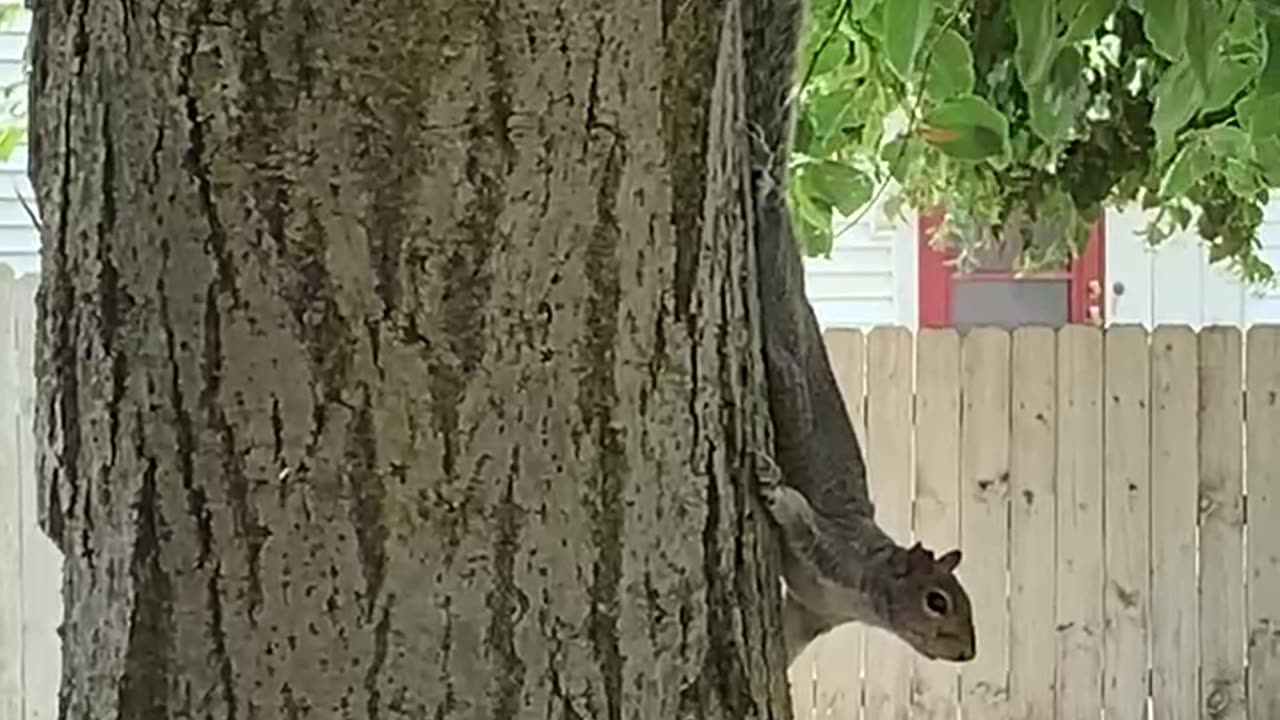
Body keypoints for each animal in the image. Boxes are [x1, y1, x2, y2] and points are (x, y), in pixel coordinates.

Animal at [739, 0, 977, 665]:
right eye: (936, 601)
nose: (967, 653)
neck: (866, 595)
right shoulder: (830, 550)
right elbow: (799, 517)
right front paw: (772, 486)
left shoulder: (813, 613)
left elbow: (791, 637)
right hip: (783, 331)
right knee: (770, 230)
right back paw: (763, 179)